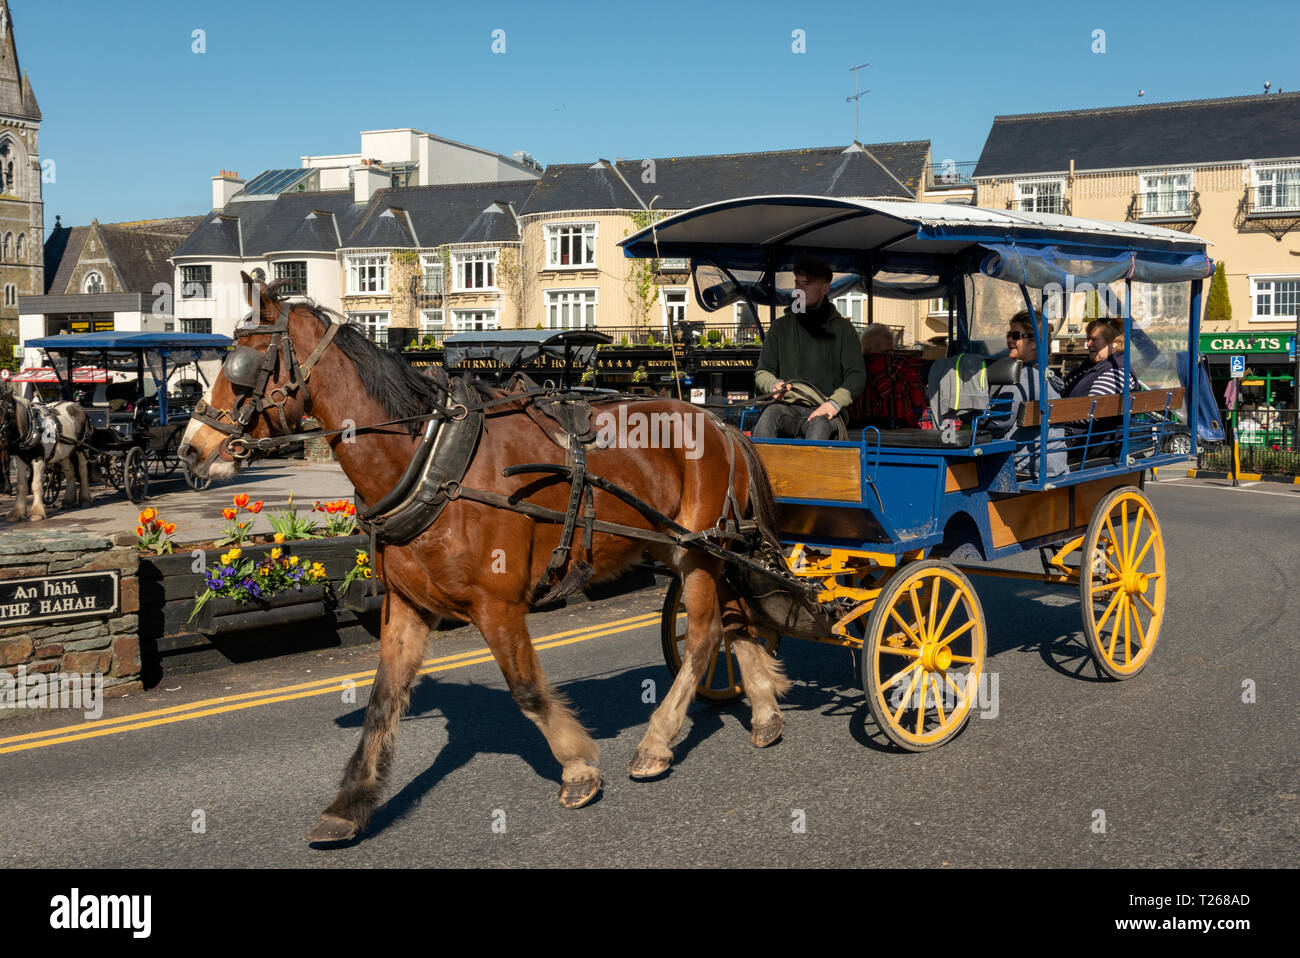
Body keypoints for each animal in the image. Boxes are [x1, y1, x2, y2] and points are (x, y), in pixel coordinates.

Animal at [178, 274, 785, 837]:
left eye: (240, 366)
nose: (190, 450)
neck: (431, 462)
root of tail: (722, 422)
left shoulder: (498, 605)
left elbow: (527, 691)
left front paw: (578, 769)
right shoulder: (406, 607)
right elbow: (383, 701)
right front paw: (348, 804)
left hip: (697, 552)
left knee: (705, 633)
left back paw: (658, 742)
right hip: (701, 549)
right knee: (735, 619)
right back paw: (764, 710)